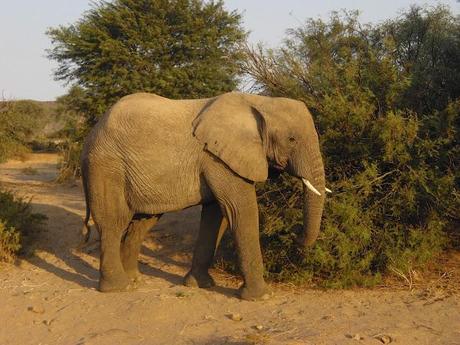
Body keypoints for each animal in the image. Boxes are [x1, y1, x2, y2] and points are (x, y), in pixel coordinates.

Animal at [82, 90, 328, 298]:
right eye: (292, 140)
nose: (295, 236)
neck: (259, 102)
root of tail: (93, 131)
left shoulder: (218, 159)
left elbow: (217, 215)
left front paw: (200, 285)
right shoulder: (217, 158)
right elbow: (240, 210)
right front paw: (260, 296)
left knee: (143, 222)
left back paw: (134, 279)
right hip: (107, 165)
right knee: (113, 222)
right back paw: (118, 288)